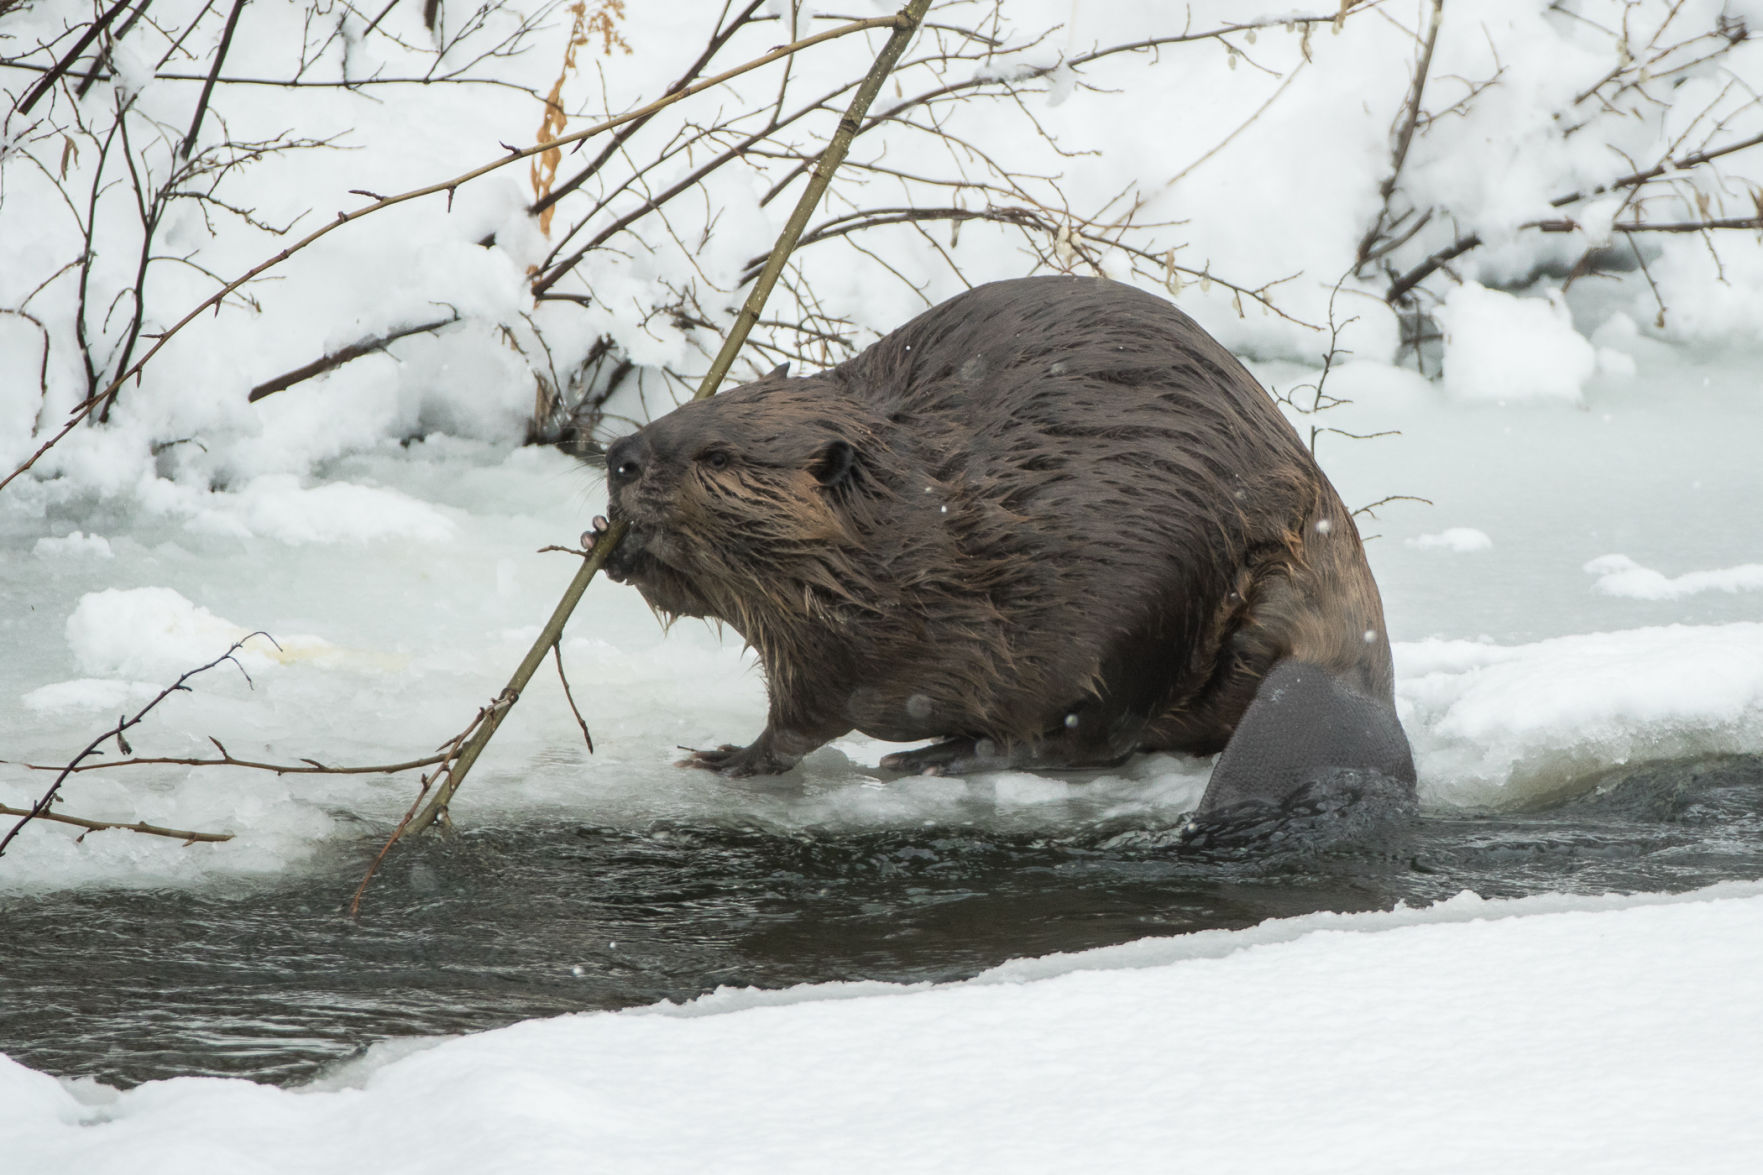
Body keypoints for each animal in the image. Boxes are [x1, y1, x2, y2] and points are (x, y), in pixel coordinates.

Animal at [592, 273, 1417, 811]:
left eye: (717, 456)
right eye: (685, 412)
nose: (621, 455)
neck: (906, 504)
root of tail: (1348, 671)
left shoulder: (878, 614)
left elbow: (812, 706)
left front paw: (725, 757)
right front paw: (612, 544)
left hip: (1151, 624)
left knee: (1090, 737)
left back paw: (932, 757)